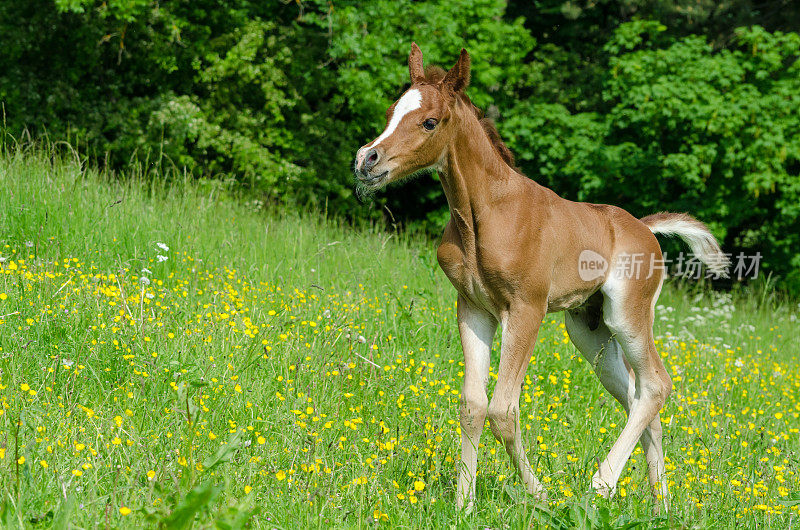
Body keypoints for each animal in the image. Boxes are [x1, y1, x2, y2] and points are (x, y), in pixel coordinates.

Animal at [356, 44, 732, 508]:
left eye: (429, 121)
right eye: (392, 111)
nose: (367, 160)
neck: (485, 215)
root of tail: (646, 228)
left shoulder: (526, 309)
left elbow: (503, 409)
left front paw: (539, 494)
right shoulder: (474, 309)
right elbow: (472, 405)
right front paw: (464, 504)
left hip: (628, 316)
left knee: (657, 386)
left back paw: (602, 484)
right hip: (589, 329)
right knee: (638, 395)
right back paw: (659, 502)